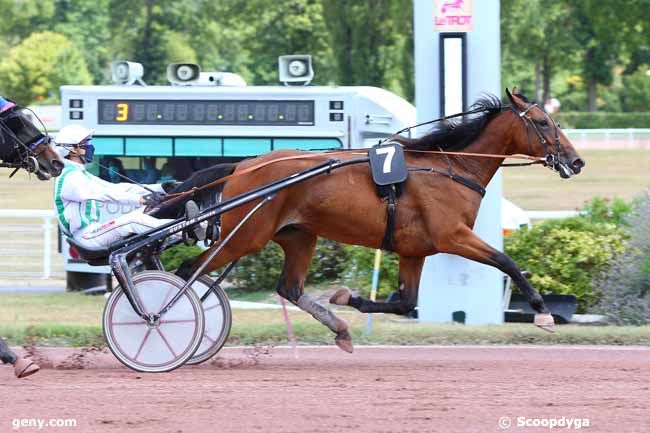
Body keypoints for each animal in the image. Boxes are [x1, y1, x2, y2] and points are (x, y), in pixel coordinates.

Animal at [158, 88, 584, 352]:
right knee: (188, 270)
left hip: (298, 236)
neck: (451, 166)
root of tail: (243, 165)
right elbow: (506, 261)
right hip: (245, 235)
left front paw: (350, 298)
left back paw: (341, 329)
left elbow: (405, 302)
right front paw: (543, 312)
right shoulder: (453, 236)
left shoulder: (415, 251)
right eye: (543, 122)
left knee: (289, 288)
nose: (577, 161)